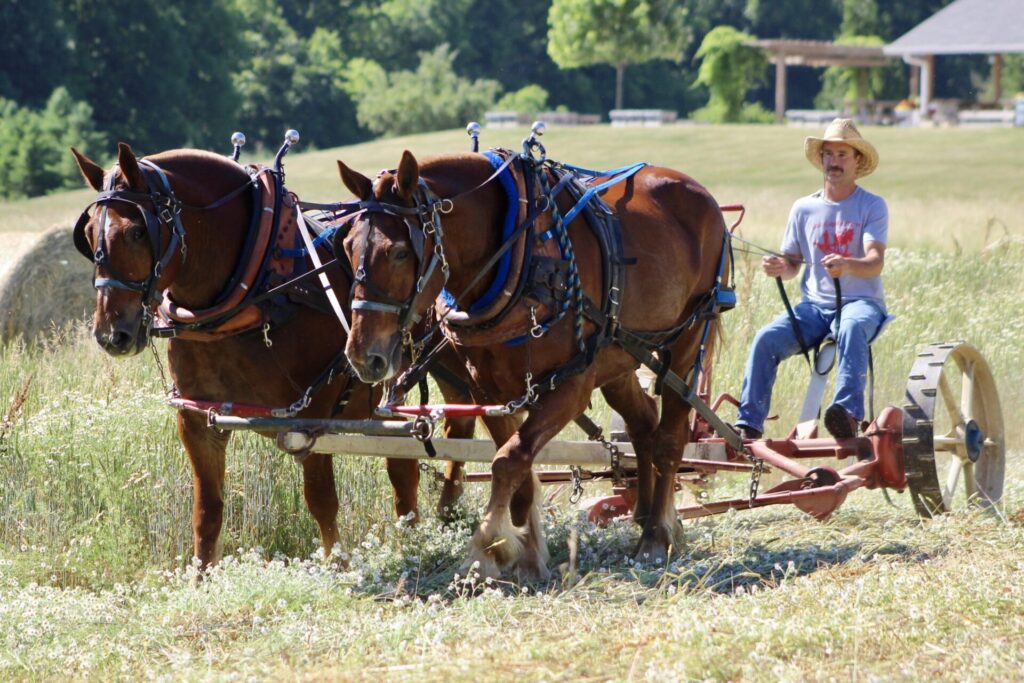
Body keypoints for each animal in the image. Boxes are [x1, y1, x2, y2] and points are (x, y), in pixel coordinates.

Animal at [70, 143, 497, 568]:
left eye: (137, 231)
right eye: (89, 235)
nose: (111, 334)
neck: (258, 288)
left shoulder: (311, 420)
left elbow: (321, 500)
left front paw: (337, 566)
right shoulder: (196, 422)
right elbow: (207, 513)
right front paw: (200, 578)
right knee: (434, 441)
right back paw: (436, 523)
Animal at [336, 148, 728, 579]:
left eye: (400, 252)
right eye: (348, 245)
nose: (363, 355)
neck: (520, 255)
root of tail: (698, 191)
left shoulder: (570, 387)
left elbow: (509, 460)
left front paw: (487, 548)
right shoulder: (487, 391)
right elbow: (517, 467)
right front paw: (527, 555)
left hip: (690, 339)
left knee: (670, 439)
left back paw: (656, 536)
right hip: (620, 356)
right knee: (643, 422)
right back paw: (642, 514)